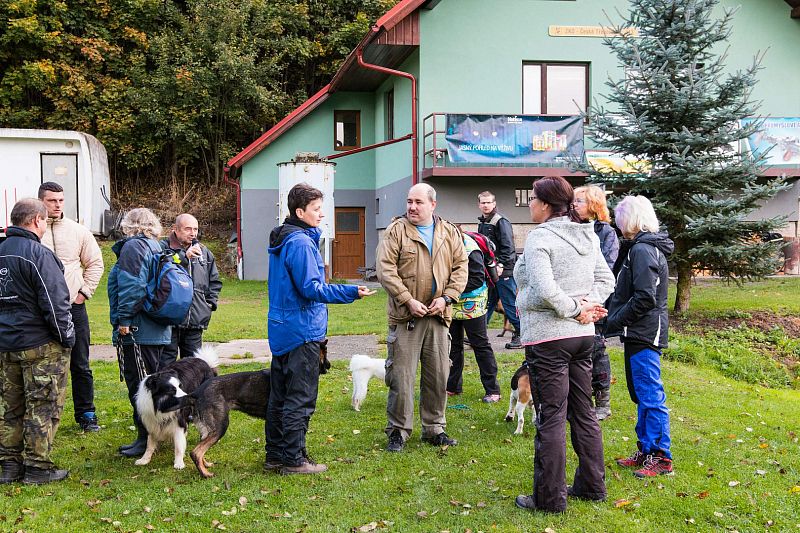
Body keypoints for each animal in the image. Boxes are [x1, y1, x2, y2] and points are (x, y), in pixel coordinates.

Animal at [186, 338, 330, 476]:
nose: (329, 365)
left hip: (207, 429)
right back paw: (205, 474)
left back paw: (206, 465)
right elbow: (301, 443)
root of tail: (197, 392)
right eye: (326, 352)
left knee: (200, 448)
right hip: (220, 427)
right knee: (196, 452)